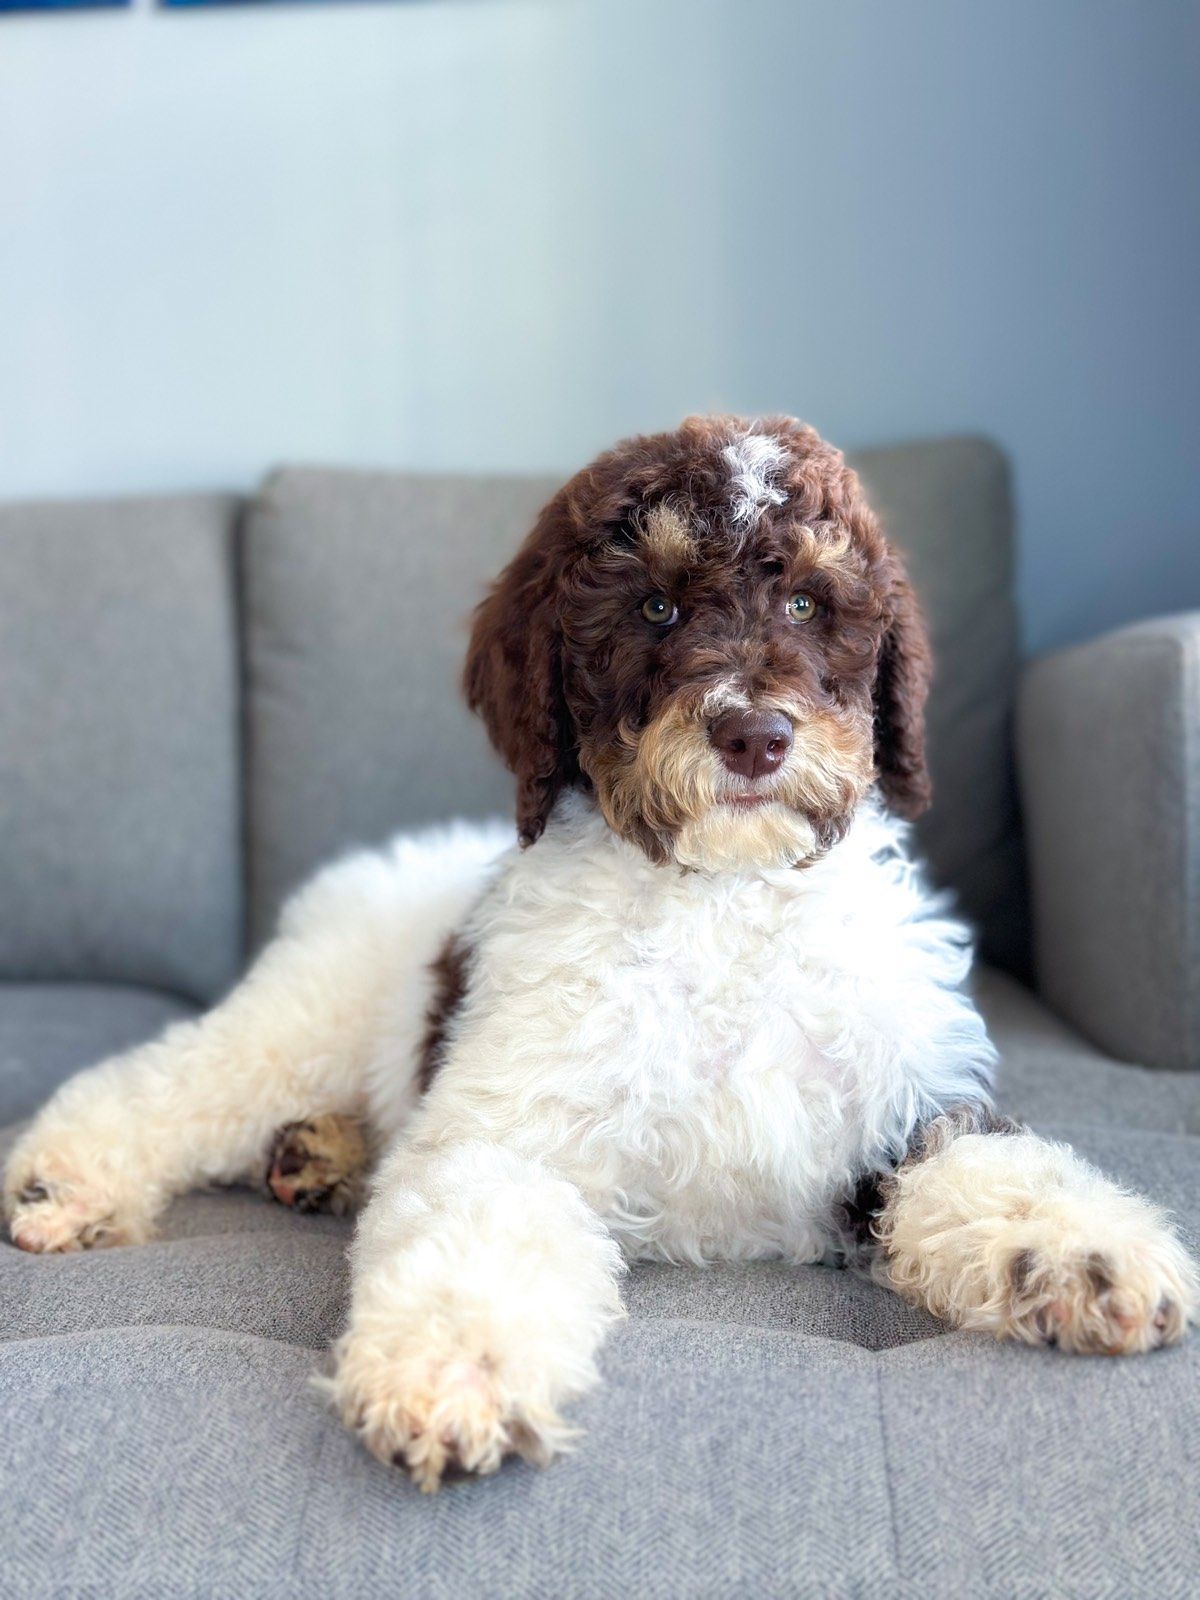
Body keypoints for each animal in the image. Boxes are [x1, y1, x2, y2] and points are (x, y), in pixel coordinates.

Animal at [4, 419, 1196, 1491]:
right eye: (655, 605)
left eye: (808, 604)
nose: (755, 737)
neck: (722, 897)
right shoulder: (511, 1131)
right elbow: (477, 1234)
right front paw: (452, 1369)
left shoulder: (908, 1104)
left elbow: (994, 1168)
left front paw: (1091, 1253)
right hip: (304, 1014)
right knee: (176, 1080)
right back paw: (66, 1174)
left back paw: (322, 1155)